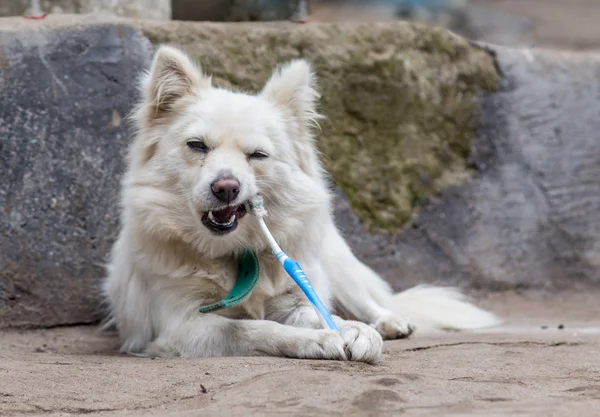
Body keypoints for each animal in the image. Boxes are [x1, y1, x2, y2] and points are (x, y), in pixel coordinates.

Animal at [104, 45, 502, 362]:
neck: (235, 252)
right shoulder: (182, 325)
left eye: (257, 155)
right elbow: (256, 329)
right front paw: (321, 340)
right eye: (197, 146)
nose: (226, 188)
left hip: (335, 263)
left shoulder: (294, 298)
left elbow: (321, 313)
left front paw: (352, 330)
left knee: (366, 299)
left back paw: (389, 322)